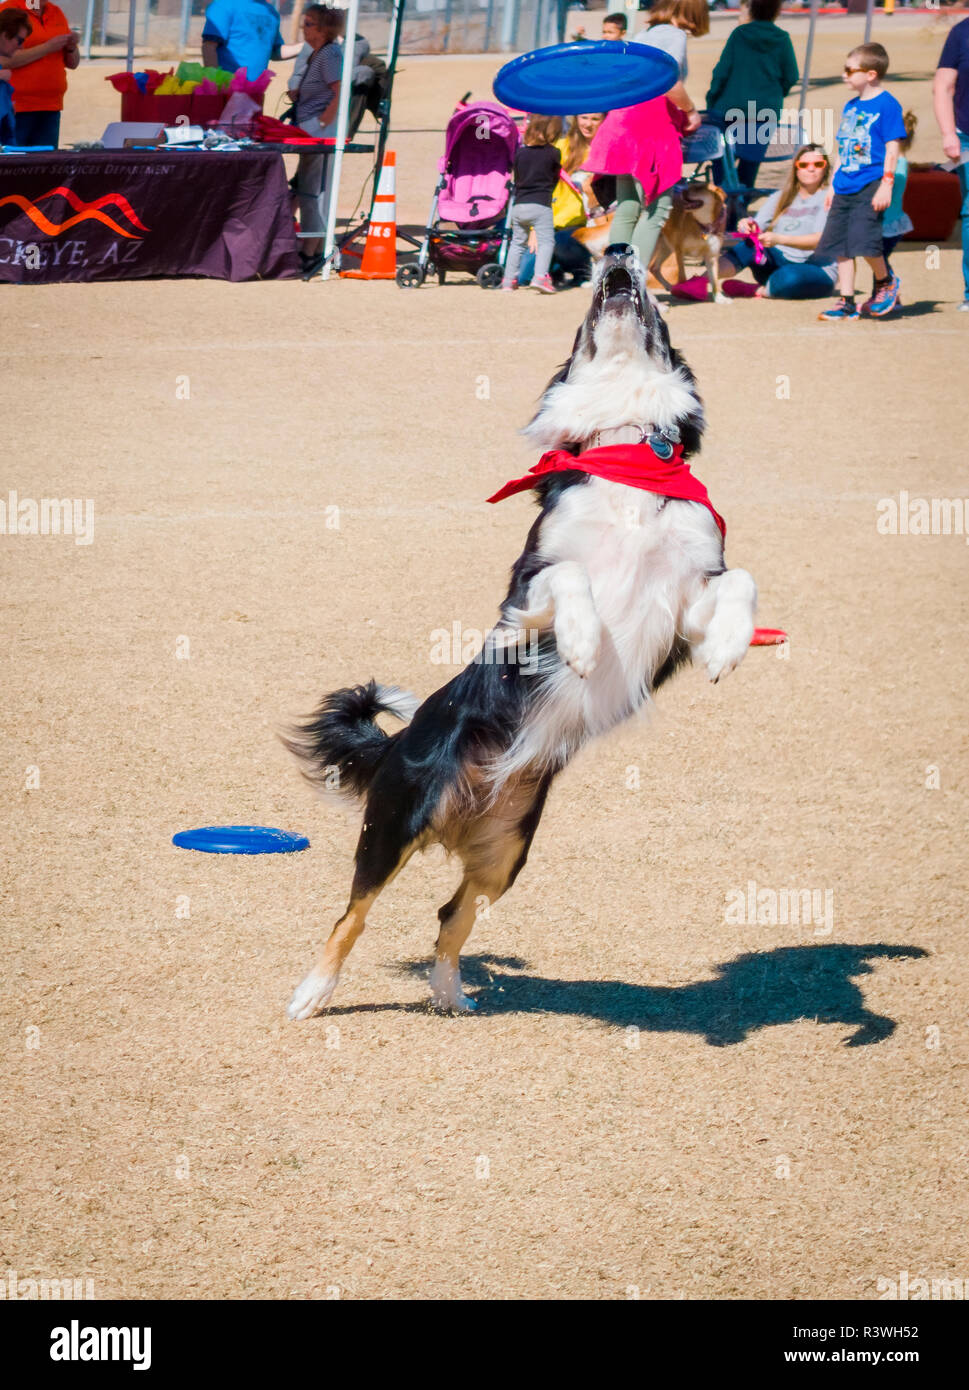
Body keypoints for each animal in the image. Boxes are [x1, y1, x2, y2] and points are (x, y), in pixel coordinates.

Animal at [283, 244, 761, 1017]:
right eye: (580, 327)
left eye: (658, 314)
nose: (619, 250)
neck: (627, 452)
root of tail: (393, 749)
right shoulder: (525, 594)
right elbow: (570, 582)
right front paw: (582, 644)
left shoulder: (683, 603)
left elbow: (740, 580)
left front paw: (729, 646)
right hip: (393, 826)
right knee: (350, 916)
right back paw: (312, 995)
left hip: (506, 853)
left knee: (450, 915)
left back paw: (450, 995)